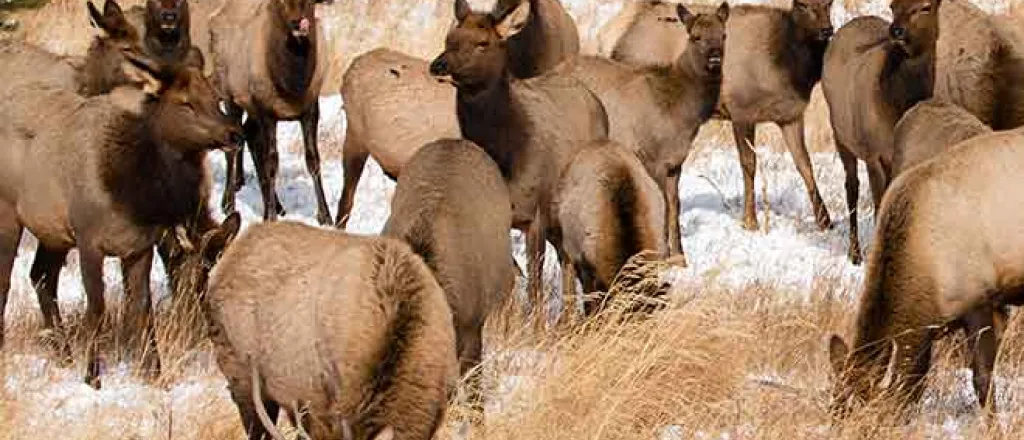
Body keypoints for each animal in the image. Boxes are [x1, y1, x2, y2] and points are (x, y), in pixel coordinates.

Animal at [0, 51, 242, 388]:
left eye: (215, 97)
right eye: (185, 103)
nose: (235, 133)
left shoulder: (140, 247)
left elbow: (141, 310)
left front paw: (156, 376)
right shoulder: (89, 239)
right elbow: (97, 309)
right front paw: (92, 379)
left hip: (53, 230)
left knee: (42, 276)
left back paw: (64, 356)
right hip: (9, 212)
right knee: (7, 281)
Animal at [337, 0, 585, 232]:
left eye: (483, 43)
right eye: (448, 39)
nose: (439, 67)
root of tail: (350, 69)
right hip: (354, 137)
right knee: (345, 202)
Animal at [561, 2, 729, 260]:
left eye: (723, 35)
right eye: (695, 36)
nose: (715, 57)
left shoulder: (675, 162)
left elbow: (675, 205)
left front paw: (681, 257)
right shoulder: (651, 157)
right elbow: (663, 204)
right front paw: (663, 254)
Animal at [602, 0, 835, 233]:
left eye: (829, 3)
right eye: (802, 5)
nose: (827, 30)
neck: (789, 70)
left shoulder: (791, 116)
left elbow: (805, 164)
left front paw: (825, 221)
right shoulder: (742, 110)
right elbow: (749, 165)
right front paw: (750, 221)